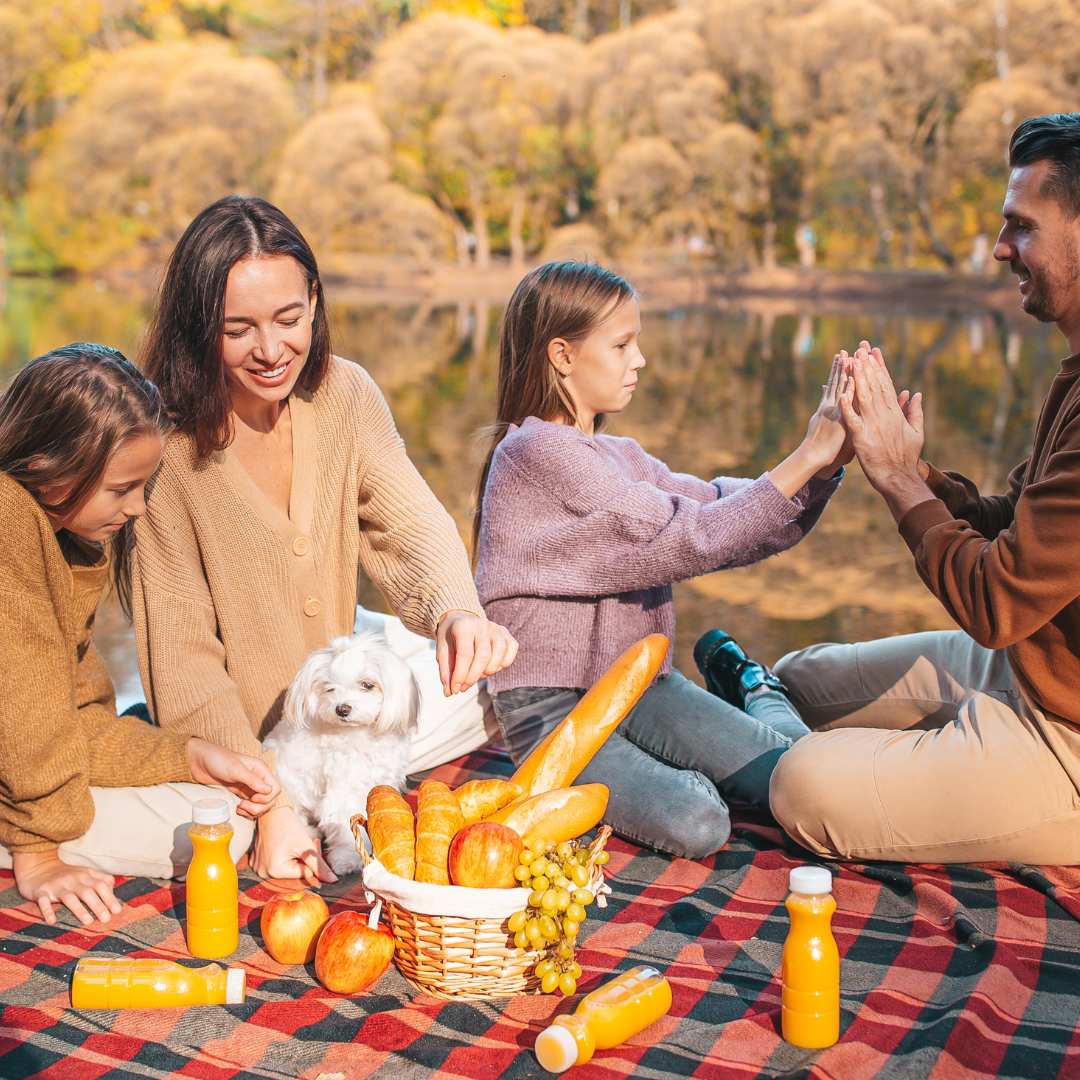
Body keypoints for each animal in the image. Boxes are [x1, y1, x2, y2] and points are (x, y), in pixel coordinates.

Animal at [265, 630, 421, 872]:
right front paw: (348, 858)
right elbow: (344, 822)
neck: (362, 734)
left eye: (368, 685)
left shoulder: (382, 777)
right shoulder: (343, 788)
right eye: (329, 687)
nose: (342, 709)